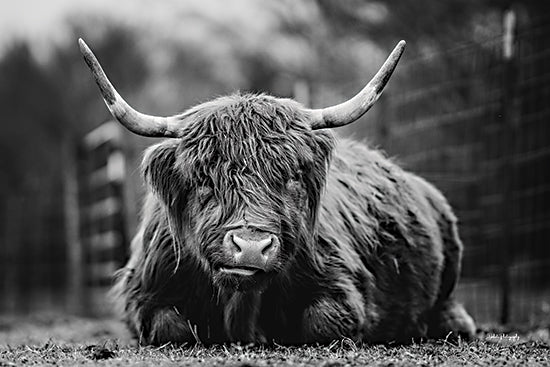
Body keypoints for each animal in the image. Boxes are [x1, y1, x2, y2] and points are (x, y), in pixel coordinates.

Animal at [78, 38, 478, 346]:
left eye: (291, 178)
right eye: (204, 179)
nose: (251, 247)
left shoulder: (343, 287)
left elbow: (323, 322)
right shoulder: (144, 293)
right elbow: (170, 327)